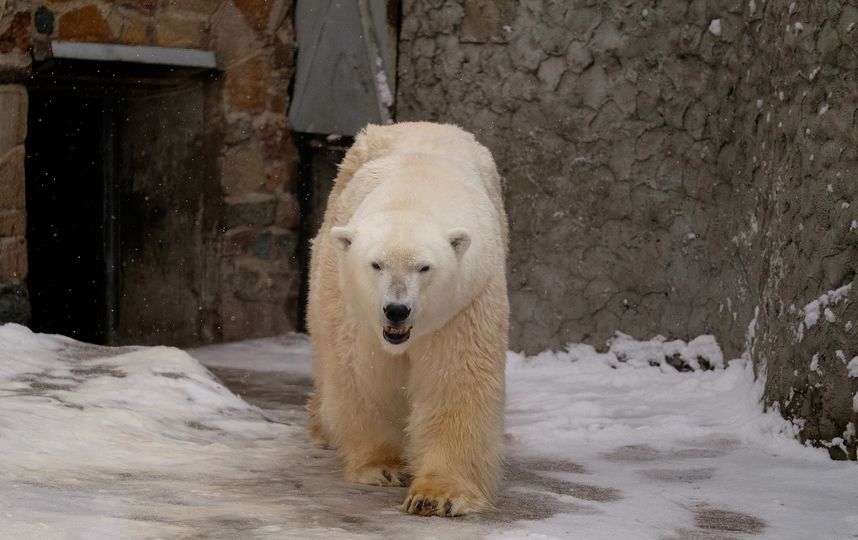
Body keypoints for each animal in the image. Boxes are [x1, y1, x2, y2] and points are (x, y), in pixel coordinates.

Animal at [308, 121, 508, 516]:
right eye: (376, 264)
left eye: (424, 267)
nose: (396, 310)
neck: (414, 190)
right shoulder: (354, 311)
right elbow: (366, 377)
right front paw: (383, 467)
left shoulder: (465, 304)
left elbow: (455, 382)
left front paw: (437, 496)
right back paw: (321, 428)